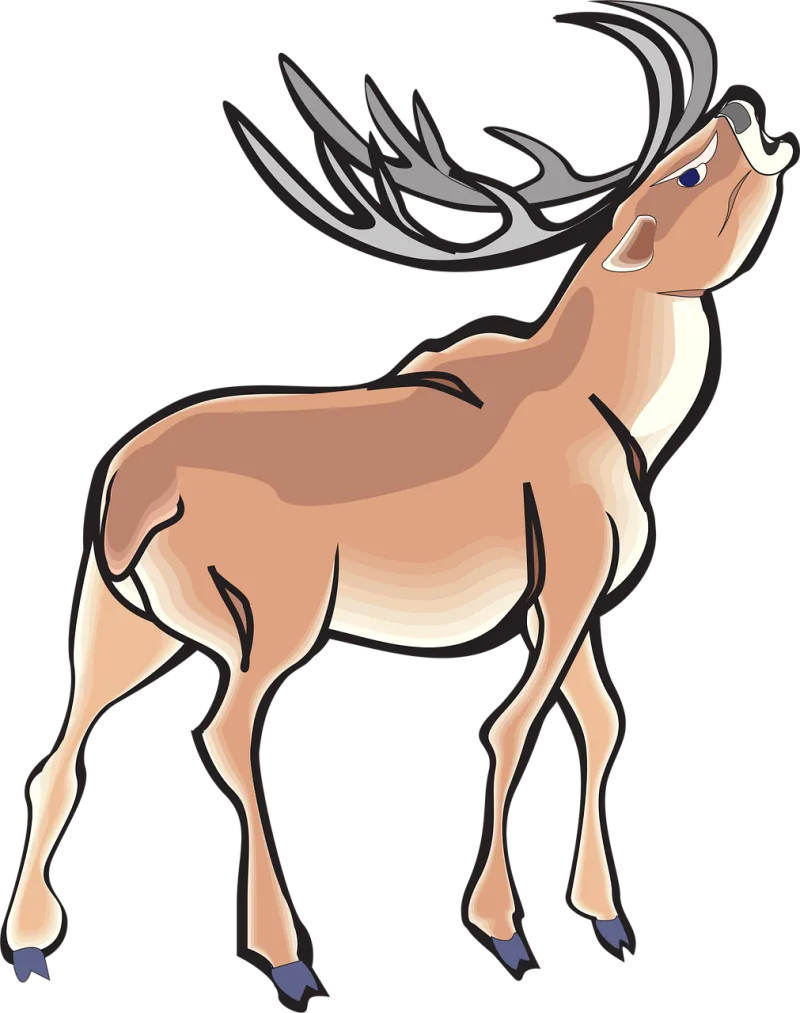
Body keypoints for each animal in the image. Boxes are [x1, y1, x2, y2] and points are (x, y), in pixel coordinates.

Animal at [5, 1, 795, 1001]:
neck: (614, 405)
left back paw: (29, 944)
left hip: (116, 619)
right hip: (279, 610)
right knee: (225, 731)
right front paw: (505, 930)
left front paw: (607, 917)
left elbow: (602, 720)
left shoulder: (563, 597)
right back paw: (288, 956)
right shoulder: (571, 569)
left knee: (57, 757)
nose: (741, 107)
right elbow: (511, 726)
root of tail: (129, 493)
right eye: (686, 171)